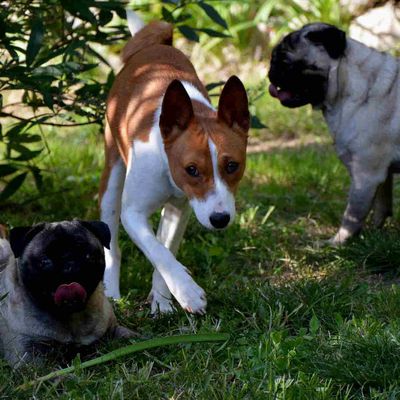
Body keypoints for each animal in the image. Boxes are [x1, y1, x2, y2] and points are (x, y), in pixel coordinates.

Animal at [99, 10, 250, 314]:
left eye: (232, 166)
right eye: (191, 170)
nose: (220, 219)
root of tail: (156, 46)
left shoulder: (180, 209)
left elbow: (165, 250)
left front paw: (162, 302)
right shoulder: (132, 213)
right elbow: (157, 250)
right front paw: (188, 292)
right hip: (112, 178)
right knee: (112, 245)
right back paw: (111, 292)